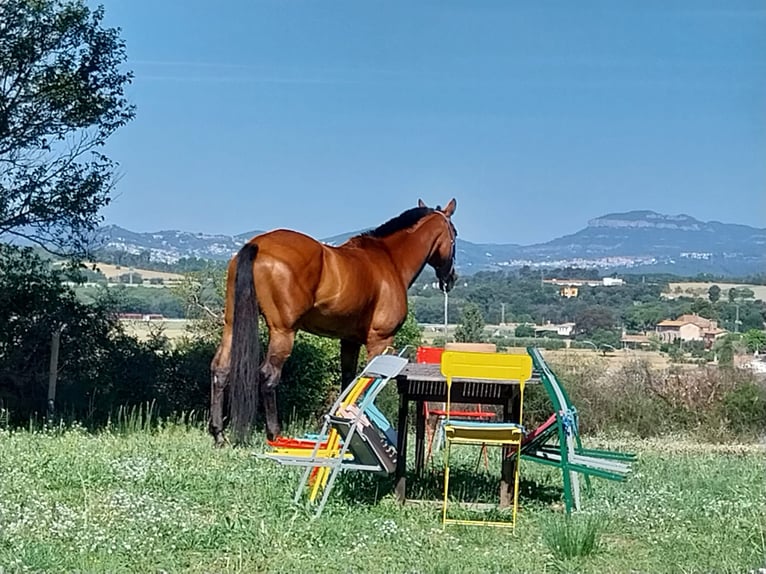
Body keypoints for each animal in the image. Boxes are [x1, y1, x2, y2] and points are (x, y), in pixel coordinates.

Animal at [209, 198, 458, 446]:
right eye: (454, 233)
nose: (451, 278)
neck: (389, 260)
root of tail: (257, 245)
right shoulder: (380, 341)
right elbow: (370, 387)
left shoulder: (349, 341)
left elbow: (349, 384)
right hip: (283, 332)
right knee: (268, 376)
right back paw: (274, 433)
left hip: (231, 326)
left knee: (220, 369)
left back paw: (218, 433)